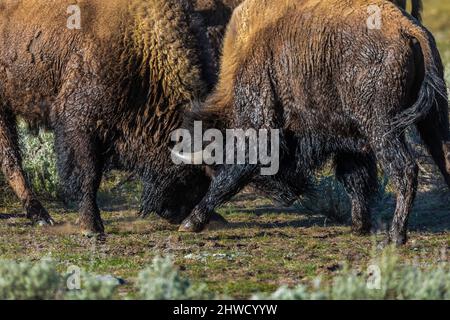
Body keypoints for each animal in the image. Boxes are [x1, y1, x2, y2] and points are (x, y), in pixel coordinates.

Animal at [178, 0, 448, 245]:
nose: (289, 194)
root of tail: (409, 30)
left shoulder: (259, 124)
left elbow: (234, 172)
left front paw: (190, 222)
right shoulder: (348, 139)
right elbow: (355, 178)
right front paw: (358, 226)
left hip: (382, 128)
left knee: (404, 170)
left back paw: (395, 235)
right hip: (432, 120)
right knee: (443, 158)